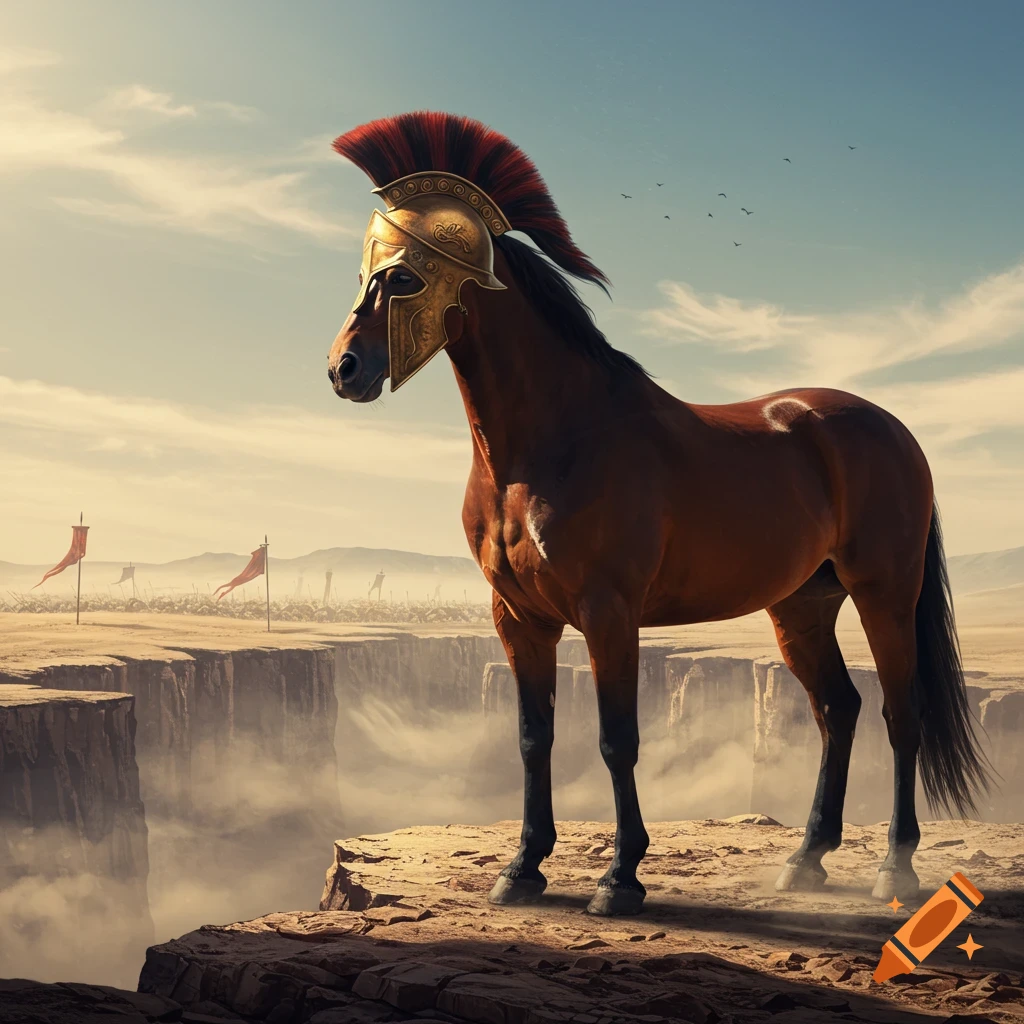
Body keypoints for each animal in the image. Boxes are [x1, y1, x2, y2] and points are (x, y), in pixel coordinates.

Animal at [326, 111, 992, 917]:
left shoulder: (609, 612)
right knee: (839, 709)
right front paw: (523, 868)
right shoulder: (518, 618)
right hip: (802, 606)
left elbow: (618, 740)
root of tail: (892, 429)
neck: (551, 440)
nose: (343, 369)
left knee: (902, 715)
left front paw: (620, 878)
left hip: (884, 593)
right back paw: (805, 859)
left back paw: (895, 868)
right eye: (365, 274)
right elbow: (533, 738)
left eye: (403, 276)